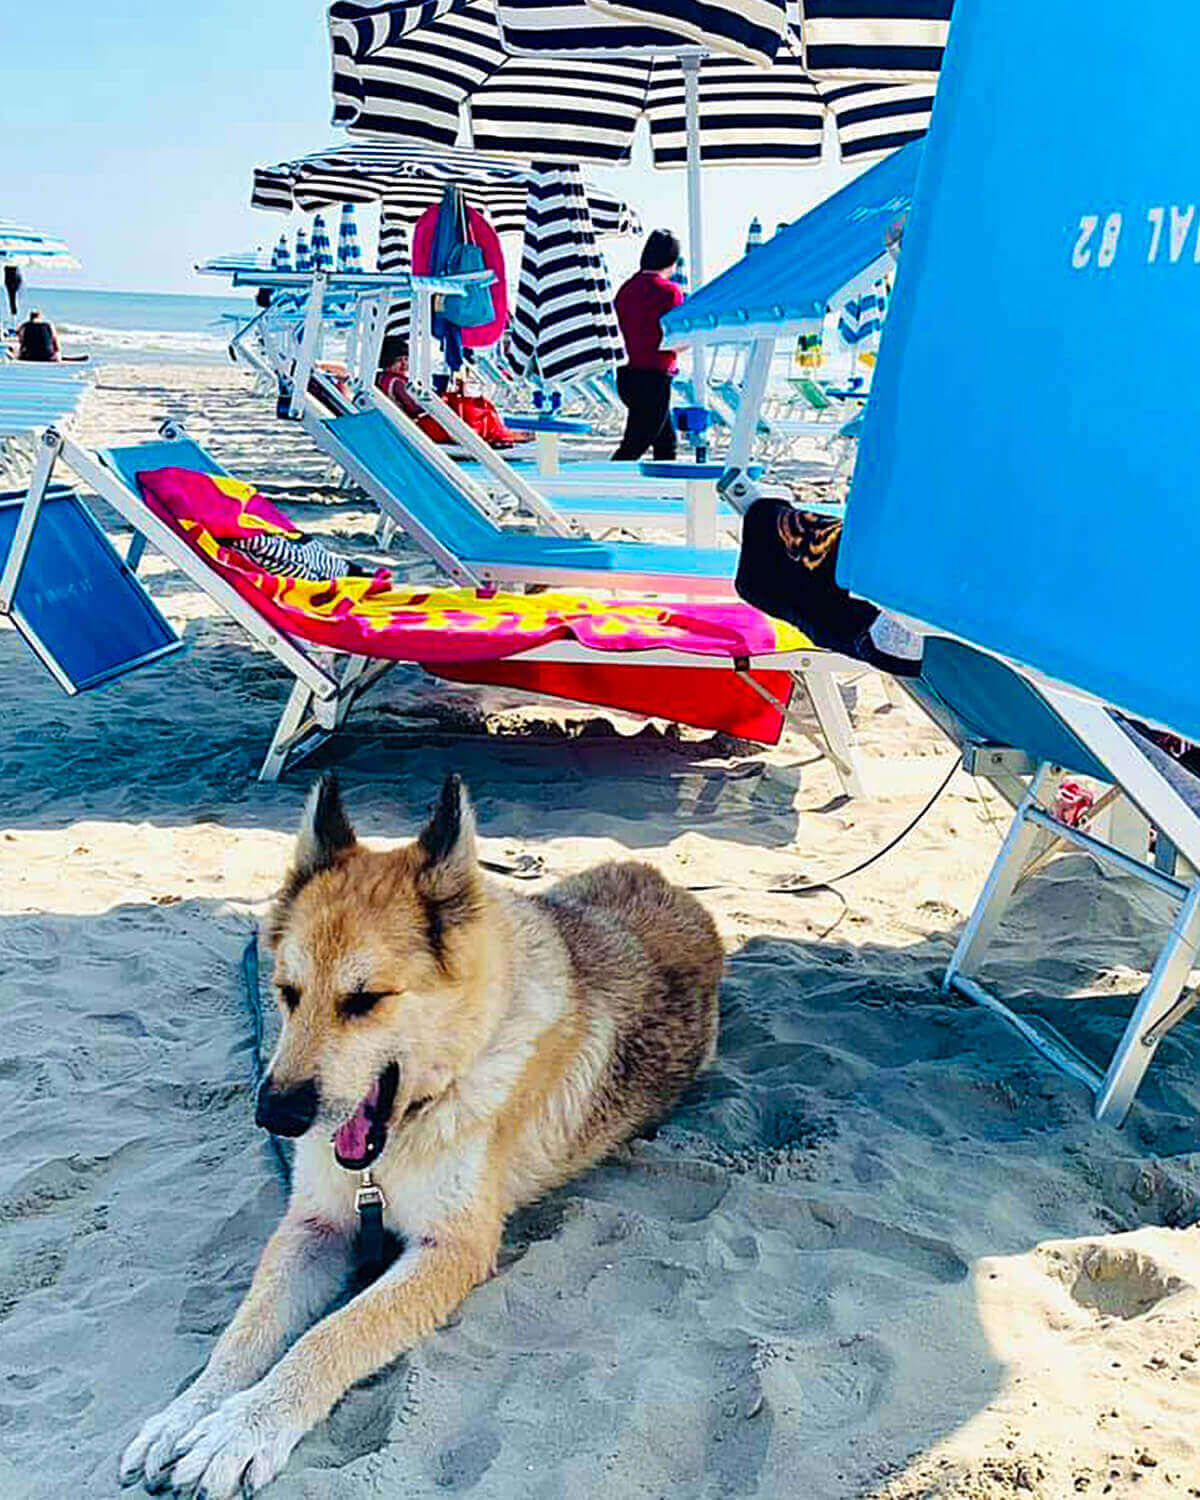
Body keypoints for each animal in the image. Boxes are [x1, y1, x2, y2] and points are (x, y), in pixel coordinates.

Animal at [119, 780, 723, 1494]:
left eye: (365, 1000)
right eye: (287, 993)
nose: (274, 1116)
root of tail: (665, 881)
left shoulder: (451, 1251)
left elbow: (332, 1335)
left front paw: (245, 1426)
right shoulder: (313, 1226)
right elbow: (246, 1331)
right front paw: (188, 1411)